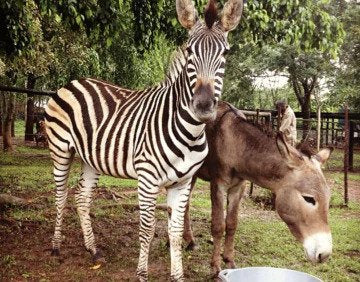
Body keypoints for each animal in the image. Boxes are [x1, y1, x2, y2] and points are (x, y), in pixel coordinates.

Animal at [43, 0, 243, 280]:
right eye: (189, 51)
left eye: (225, 53)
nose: (203, 106)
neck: (190, 132)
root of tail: (74, 81)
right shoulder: (147, 180)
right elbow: (147, 230)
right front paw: (141, 273)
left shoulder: (183, 183)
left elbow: (175, 232)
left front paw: (177, 275)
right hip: (61, 149)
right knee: (60, 194)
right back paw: (56, 246)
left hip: (91, 158)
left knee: (81, 197)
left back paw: (93, 249)